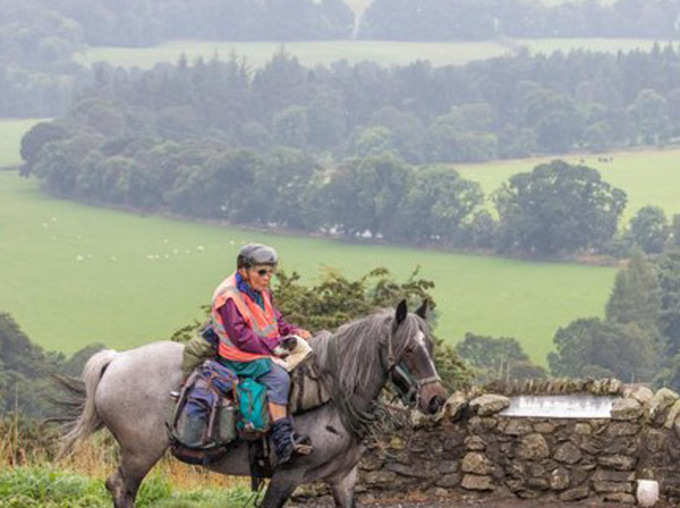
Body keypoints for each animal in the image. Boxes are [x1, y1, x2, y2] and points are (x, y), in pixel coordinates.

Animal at [58, 300, 448, 506]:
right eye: (408, 349)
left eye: (430, 343)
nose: (436, 399)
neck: (332, 396)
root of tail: (115, 361)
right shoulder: (287, 475)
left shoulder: (343, 478)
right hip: (141, 452)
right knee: (122, 487)